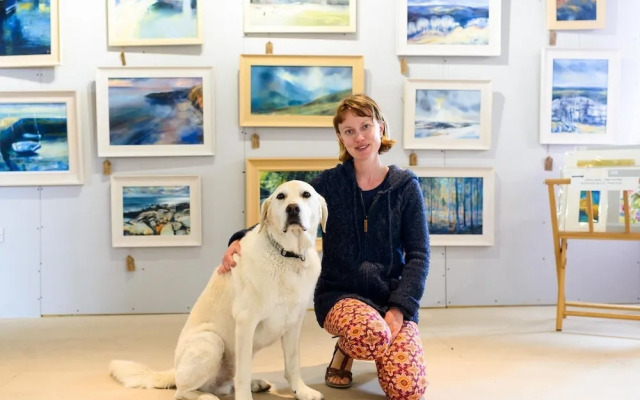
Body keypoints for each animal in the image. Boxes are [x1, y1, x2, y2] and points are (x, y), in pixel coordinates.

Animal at [109, 180, 328, 400]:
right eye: (281, 196)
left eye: (306, 194)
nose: (292, 208)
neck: (288, 255)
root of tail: (175, 369)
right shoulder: (246, 322)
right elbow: (243, 372)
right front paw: (245, 398)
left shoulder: (293, 323)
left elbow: (293, 364)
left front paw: (301, 391)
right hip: (211, 341)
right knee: (183, 390)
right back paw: (206, 396)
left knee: (227, 382)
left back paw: (254, 384)